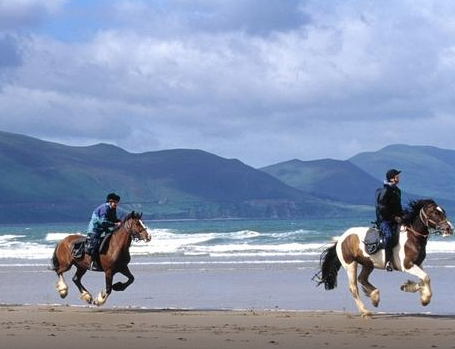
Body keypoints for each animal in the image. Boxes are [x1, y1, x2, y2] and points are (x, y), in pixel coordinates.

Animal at [318, 198, 452, 316]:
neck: (413, 237)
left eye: (443, 211)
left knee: (362, 279)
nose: (449, 228)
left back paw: (375, 297)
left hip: (368, 264)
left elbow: (423, 280)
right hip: (350, 264)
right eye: (435, 212)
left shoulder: (418, 264)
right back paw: (365, 311)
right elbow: (426, 278)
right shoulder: (407, 265)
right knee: (353, 287)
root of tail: (341, 238)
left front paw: (410, 288)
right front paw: (424, 299)